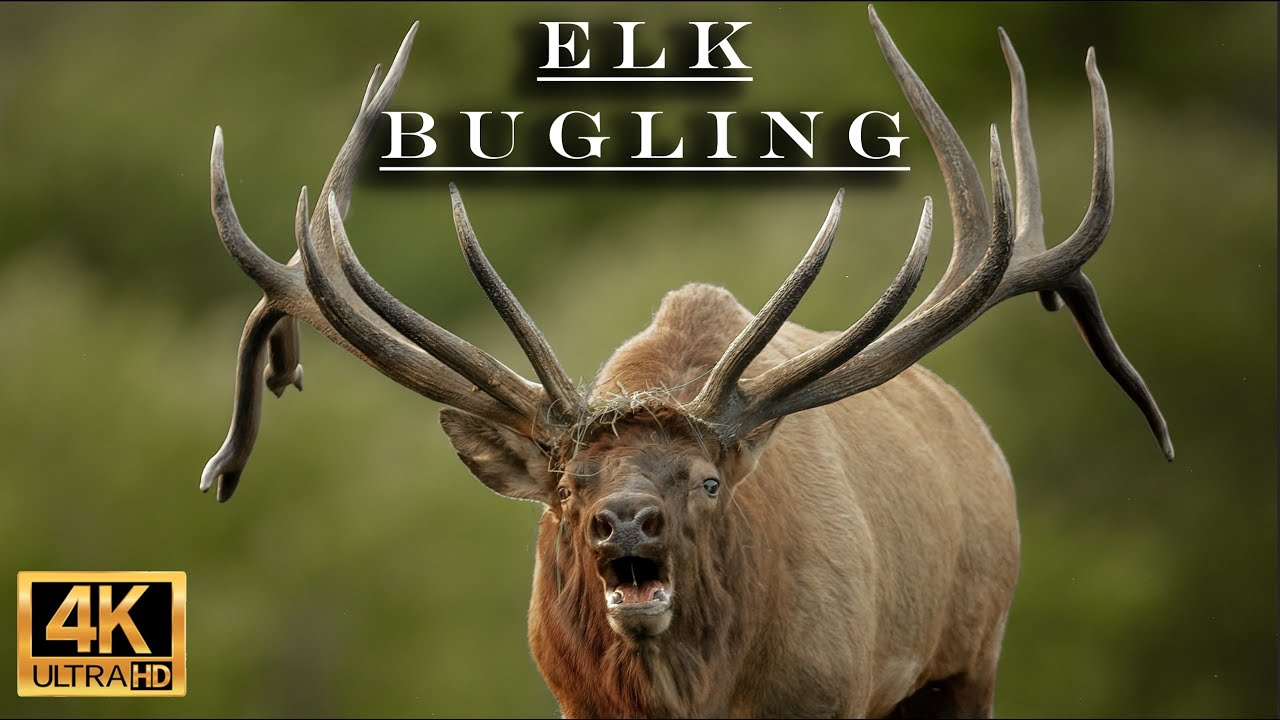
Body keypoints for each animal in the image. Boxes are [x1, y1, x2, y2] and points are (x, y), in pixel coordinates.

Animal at [199, 6, 1172, 718]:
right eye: (568, 488)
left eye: (707, 480)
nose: (628, 523)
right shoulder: (577, 703)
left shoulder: (830, 695)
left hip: (970, 656)